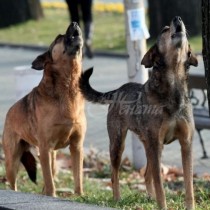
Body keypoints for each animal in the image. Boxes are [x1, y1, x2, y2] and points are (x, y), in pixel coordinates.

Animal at [2, 22, 86, 196]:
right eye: (59, 38)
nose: (74, 23)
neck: (68, 85)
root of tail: (9, 112)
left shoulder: (77, 146)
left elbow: (78, 177)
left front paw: (80, 196)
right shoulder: (45, 148)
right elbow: (49, 182)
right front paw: (53, 195)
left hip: (52, 158)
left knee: (49, 178)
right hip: (12, 161)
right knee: (14, 184)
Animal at [79, 16, 198, 210]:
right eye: (165, 30)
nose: (178, 19)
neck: (172, 90)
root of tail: (118, 90)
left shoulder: (186, 143)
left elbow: (188, 184)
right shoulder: (156, 143)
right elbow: (160, 186)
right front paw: (162, 205)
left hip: (150, 146)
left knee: (146, 174)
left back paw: (149, 198)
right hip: (118, 143)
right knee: (115, 174)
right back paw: (117, 199)